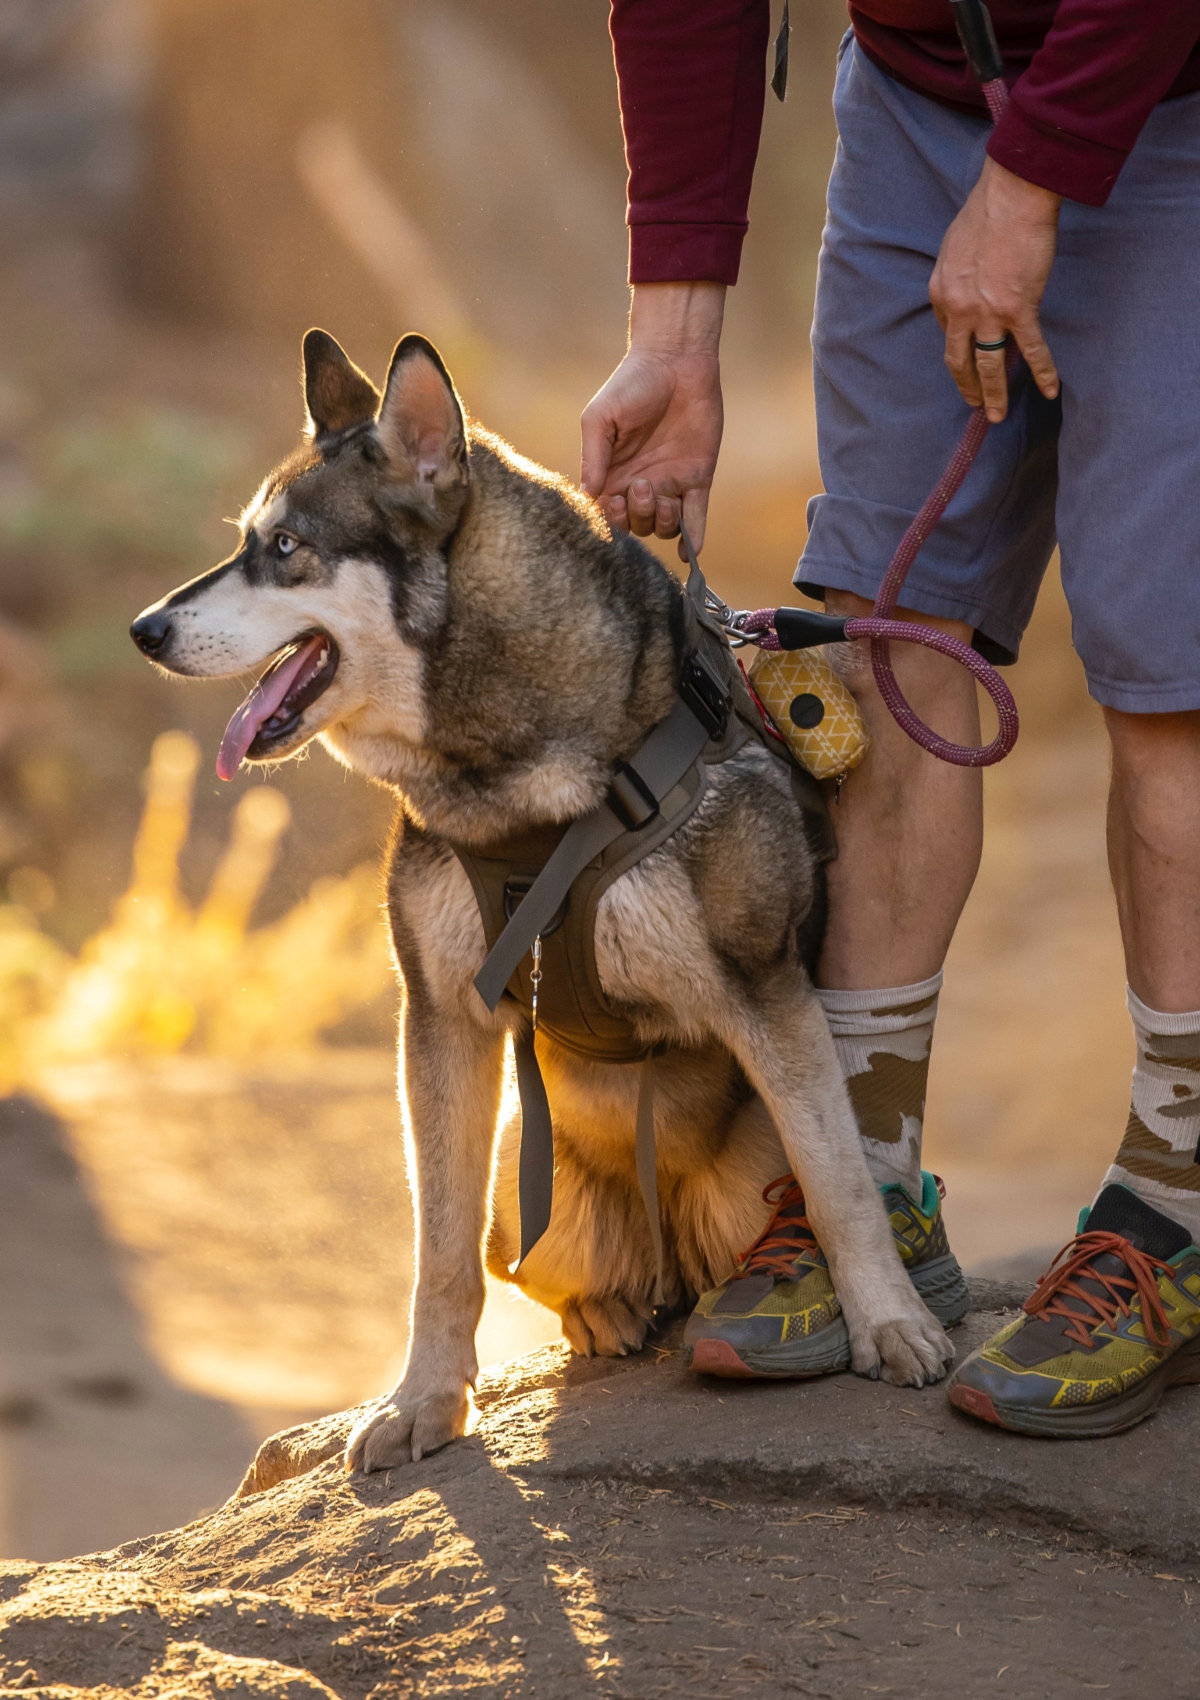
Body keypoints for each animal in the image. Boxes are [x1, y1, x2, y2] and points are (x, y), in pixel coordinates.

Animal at [130, 331, 951, 1475]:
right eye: (250, 541)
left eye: (285, 547)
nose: (143, 629)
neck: (527, 793)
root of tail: (670, 1255)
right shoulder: (441, 1021)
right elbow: (434, 1253)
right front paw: (424, 1401)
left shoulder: (768, 992)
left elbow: (840, 1188)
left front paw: (886, 1323)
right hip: (525, 1191)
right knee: (532, 1268)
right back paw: (606, 1313)